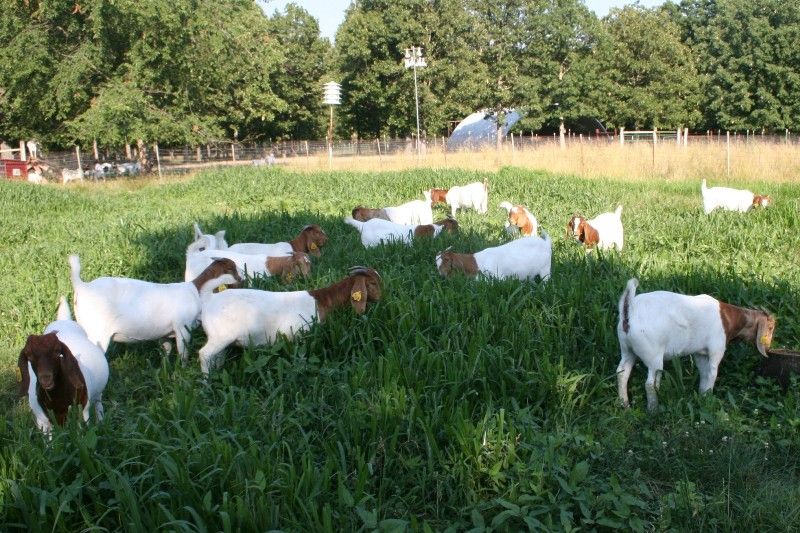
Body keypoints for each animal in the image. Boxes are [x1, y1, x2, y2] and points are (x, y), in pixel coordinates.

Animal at [18, 297, 109, 434]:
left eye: (57, 352)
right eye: (29, 355)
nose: (46, 378)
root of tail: (64, 320)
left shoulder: (82, 412)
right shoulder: (44, 421)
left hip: (97, 394)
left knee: (98, 403)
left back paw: (101, 423)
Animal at [70, 255, 241, 360]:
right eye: (233, 268)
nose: (242, 278)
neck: (195, 290)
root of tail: (83, 286)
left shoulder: (165, 334)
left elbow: (166, 351)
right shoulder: (182, 327)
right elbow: (183, 353)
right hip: (97, 333)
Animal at [198, 267, 382, 373]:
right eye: (373, 283)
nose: (381, 297)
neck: (323, 299)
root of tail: (209, 298)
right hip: (221, 336)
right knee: (204, 354)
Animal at [616, 278, 776, 412]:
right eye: (770, 327)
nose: (768, 348)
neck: (727, 318)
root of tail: (630, 309)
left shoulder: (700, 354)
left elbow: (703, 373)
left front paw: (701, 397)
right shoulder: (716, 350)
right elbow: (712, 373)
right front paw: (707, 401)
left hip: (627, 350)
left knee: (622, 373)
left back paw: (625, 406)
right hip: (653, 356)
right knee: (650, 384)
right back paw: (653, 410)